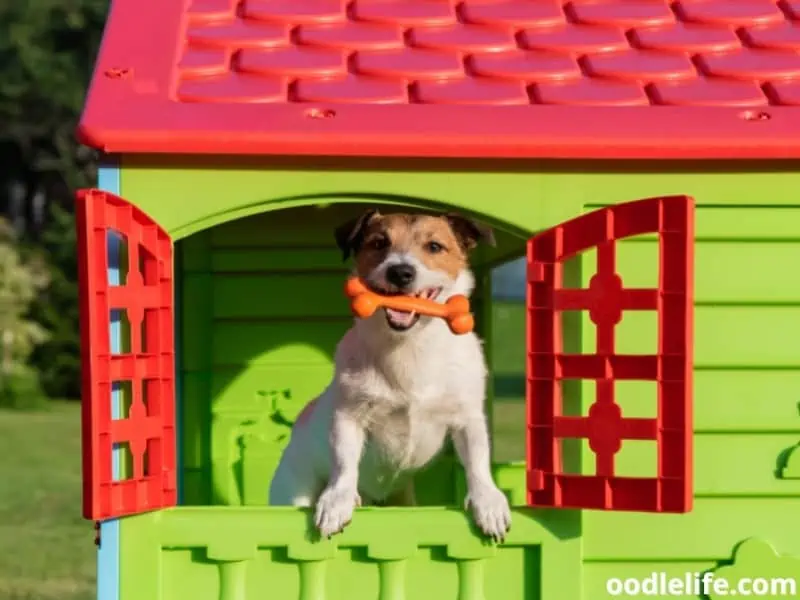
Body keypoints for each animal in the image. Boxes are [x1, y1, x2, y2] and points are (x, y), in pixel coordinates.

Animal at [268, 209, 512, 540]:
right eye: (378, 243)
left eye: (434, 247)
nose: (400, 272)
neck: (408, 348)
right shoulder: (349, 418)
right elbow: (344, 463)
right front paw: (337, 500)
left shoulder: (467, 418)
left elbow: (477, 461)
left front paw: (488, 501)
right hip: (294, 488)